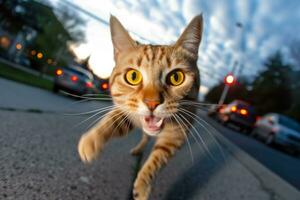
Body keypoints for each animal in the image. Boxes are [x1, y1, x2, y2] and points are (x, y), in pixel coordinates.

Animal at [78, 14, 204, 200]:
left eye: (176, 77)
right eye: (133, 76)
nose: (152, 103)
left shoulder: (176, 135)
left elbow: (156, 161)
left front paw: (143, 186)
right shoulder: (127, 112)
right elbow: (111, 121)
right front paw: (91, 141)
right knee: (144, 137)